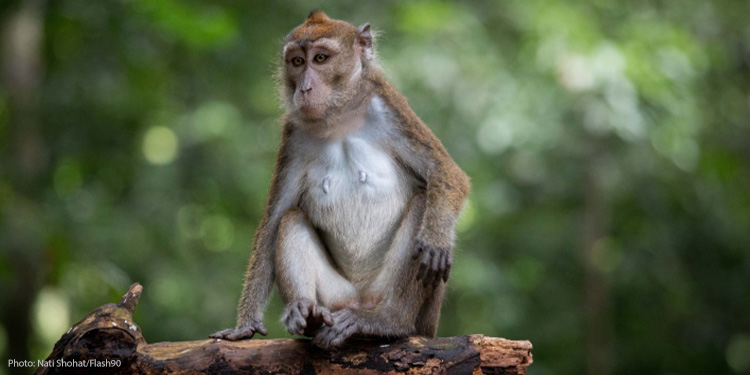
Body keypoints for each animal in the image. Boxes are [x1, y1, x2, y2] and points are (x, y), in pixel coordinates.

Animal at [212, 9, 470, 350]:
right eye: (297, 62)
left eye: (320, 58)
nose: (304, 89)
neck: (339, 118)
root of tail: (361, 302)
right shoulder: (293, 134)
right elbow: (274, 220)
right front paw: (245, 326)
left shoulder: (389, 107)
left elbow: (445, 172)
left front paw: (436, 239)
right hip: (338, 299)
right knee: (291, 219)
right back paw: (307, 314)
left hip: (414, 312)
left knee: (422, 203)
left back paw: (389, 322)